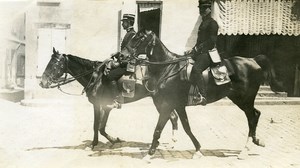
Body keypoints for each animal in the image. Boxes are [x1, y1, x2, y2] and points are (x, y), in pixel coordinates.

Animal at [39, 48, 178, 149]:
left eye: (54, 65)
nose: (42, 82)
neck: (96, 77)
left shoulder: (99, 105)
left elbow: (97, 126)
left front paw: (99, 143)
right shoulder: (104, 107)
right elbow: (100, 127)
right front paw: (108, 140)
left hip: (160, 101)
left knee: (171, 117)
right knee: (173, 117)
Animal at [120, 29, 284, 159]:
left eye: (139, 38)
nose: (121, 56)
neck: (169, 68)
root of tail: (253, 60)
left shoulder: (167, 105)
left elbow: (158, 129)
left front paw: (149, 154)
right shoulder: (178, 105)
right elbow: (186, 127)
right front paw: (198, 149)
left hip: (244, 99)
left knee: (252, 117)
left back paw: (246, 149)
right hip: (240, 99)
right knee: (255, 115)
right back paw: (256, 141)